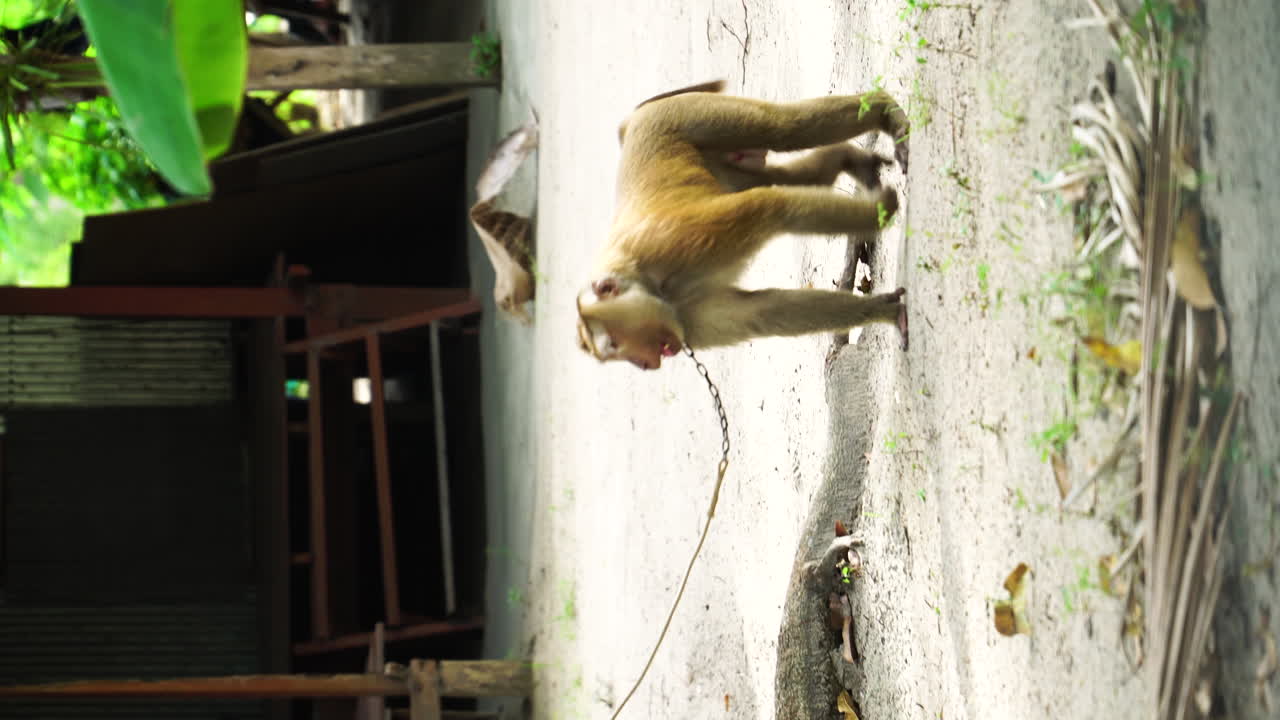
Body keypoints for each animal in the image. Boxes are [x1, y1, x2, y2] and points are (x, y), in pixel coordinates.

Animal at [576, 82, 911, 370]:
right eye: (617, 353)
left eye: (615, 343)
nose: (642, 363)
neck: (649, 282)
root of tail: (633, 122)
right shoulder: (686, 317)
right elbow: (765, 312)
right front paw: (884, 311)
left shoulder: (677, 242)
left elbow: (774, 208)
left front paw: (882, 211)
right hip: (721, 164)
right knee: (787, 175)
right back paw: (844, 158)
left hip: (682, 114)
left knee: (782, 129)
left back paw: (881, 108)